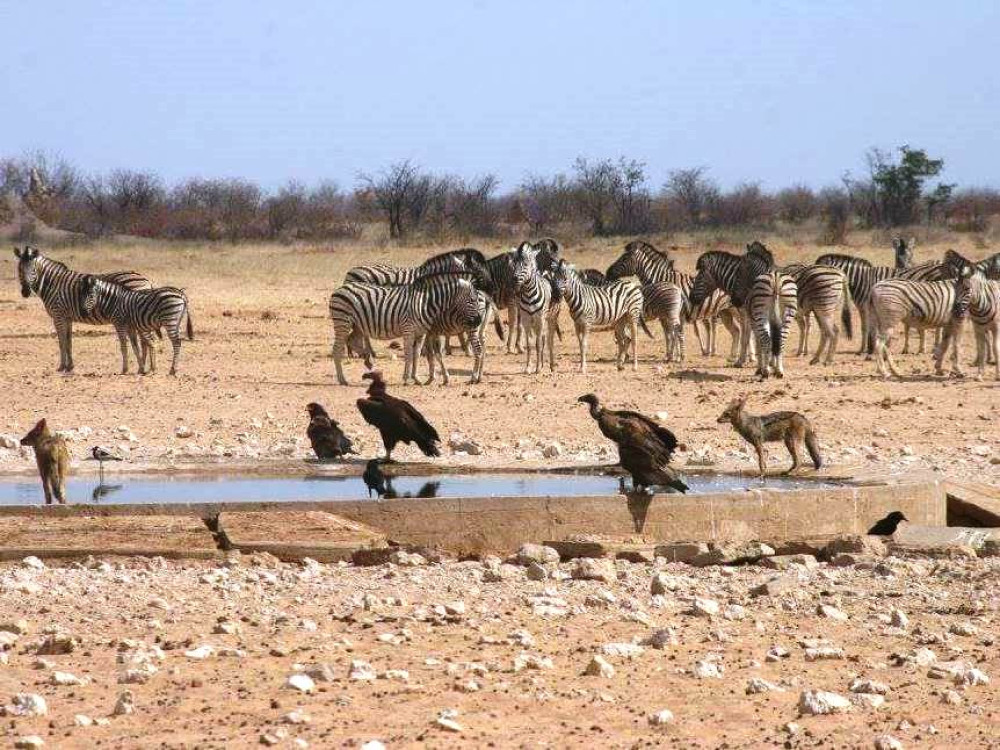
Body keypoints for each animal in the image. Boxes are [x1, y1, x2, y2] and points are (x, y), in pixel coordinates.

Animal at [13, 248, 152, 374]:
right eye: (19, 269)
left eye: (33, 270)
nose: (25, 292)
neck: (52, 284)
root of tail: (145, 279)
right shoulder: (67, 317)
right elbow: (68, 341)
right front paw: (70, 366)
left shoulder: (58, 315)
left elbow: (61, 341)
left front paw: (62, 367)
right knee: (144, 340)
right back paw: (145, 367)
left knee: (144, 340)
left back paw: (146, 367)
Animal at [330, 274, 482, 384]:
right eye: (471, 300)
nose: (478, 321)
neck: (426, 304)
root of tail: (340, 288)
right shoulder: (408, 330)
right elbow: (409, 354)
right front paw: (406, 378)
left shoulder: (421, 333)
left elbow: (416, 354)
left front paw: (416, 378)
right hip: (342, 322)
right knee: (337, 348)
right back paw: (342, 379)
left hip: (357, 325)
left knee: (351, 341)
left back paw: (368, 361)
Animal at [604, 241, 740, 358]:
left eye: (624, 258)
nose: (607, 272)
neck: (663, 279)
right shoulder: (666, 314)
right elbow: (670, 333)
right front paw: (673, 353)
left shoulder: (672, 312)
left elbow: (672, 333)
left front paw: (674, 354)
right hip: (726, 311)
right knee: (735, 329)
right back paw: (730, 354)